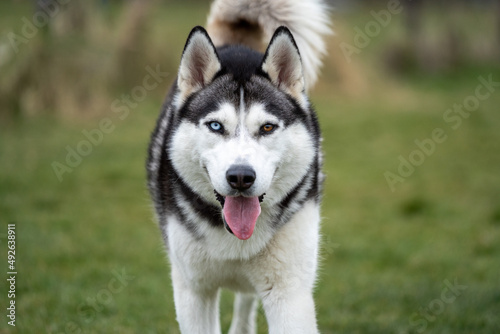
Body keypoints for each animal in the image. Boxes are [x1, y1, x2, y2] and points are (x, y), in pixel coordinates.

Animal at [146, 0, 330, 334]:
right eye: (216, 126)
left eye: (267, 127)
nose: (241, 177)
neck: (236, 240)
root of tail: (238, 47)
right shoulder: (194, 291)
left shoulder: (289, 291)